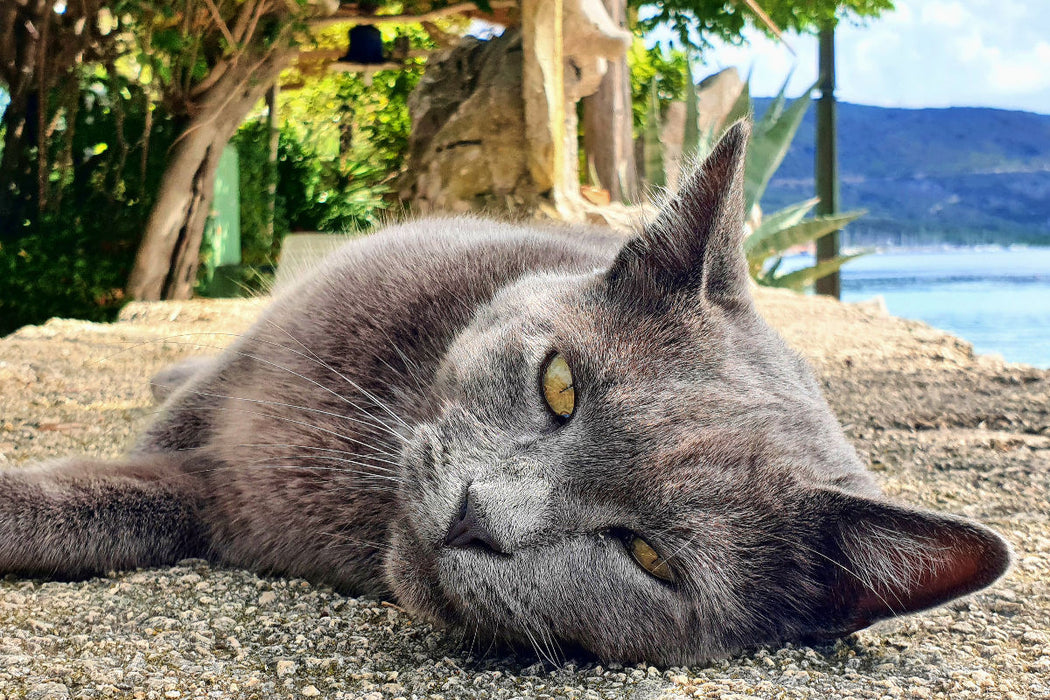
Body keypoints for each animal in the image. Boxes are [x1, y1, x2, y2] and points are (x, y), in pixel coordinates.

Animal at [4, 123, 1012, 667]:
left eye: (647, 556)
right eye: (560, 384)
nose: (477, 517)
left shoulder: (216, 501)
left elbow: (111, 502)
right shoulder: (257, 357)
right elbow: (153, 441)